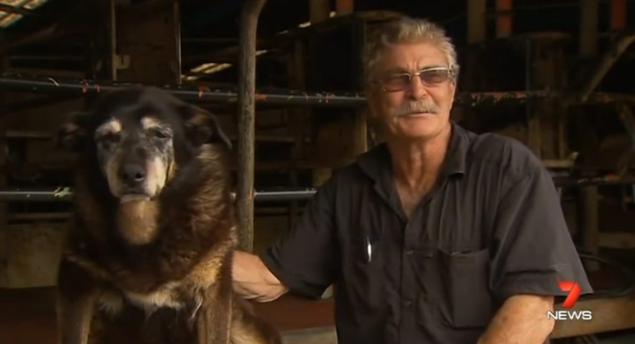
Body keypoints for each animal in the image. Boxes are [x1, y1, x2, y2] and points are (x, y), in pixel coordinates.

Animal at [57, 86, 280, 344]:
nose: (131, 174)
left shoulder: (214, 293)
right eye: (107, 138)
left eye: (160, 135)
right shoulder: (76, 285)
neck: (142, 223)